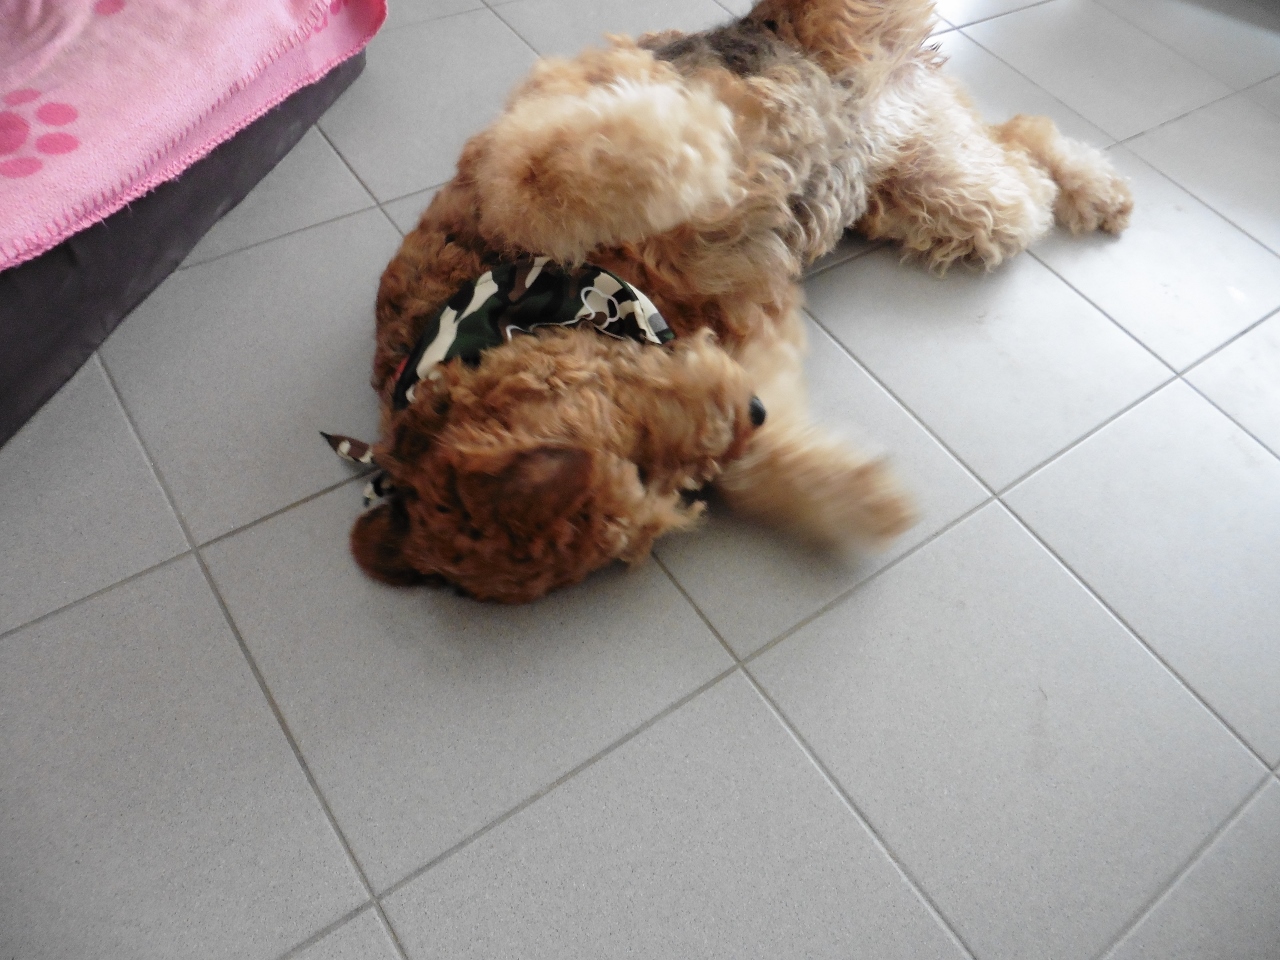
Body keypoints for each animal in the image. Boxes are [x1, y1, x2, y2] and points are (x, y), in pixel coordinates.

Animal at [332, 0, 1132, 603]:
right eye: (661, 491)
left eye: (616, 446)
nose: (750, 412)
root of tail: (908, 82)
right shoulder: (750, 331)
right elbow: (755, 465)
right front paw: (856, 497)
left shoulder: (539, 123)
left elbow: (543, 172)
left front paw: (703, 142)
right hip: (952, 194)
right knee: (1021, 153)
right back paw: (1094, 190)